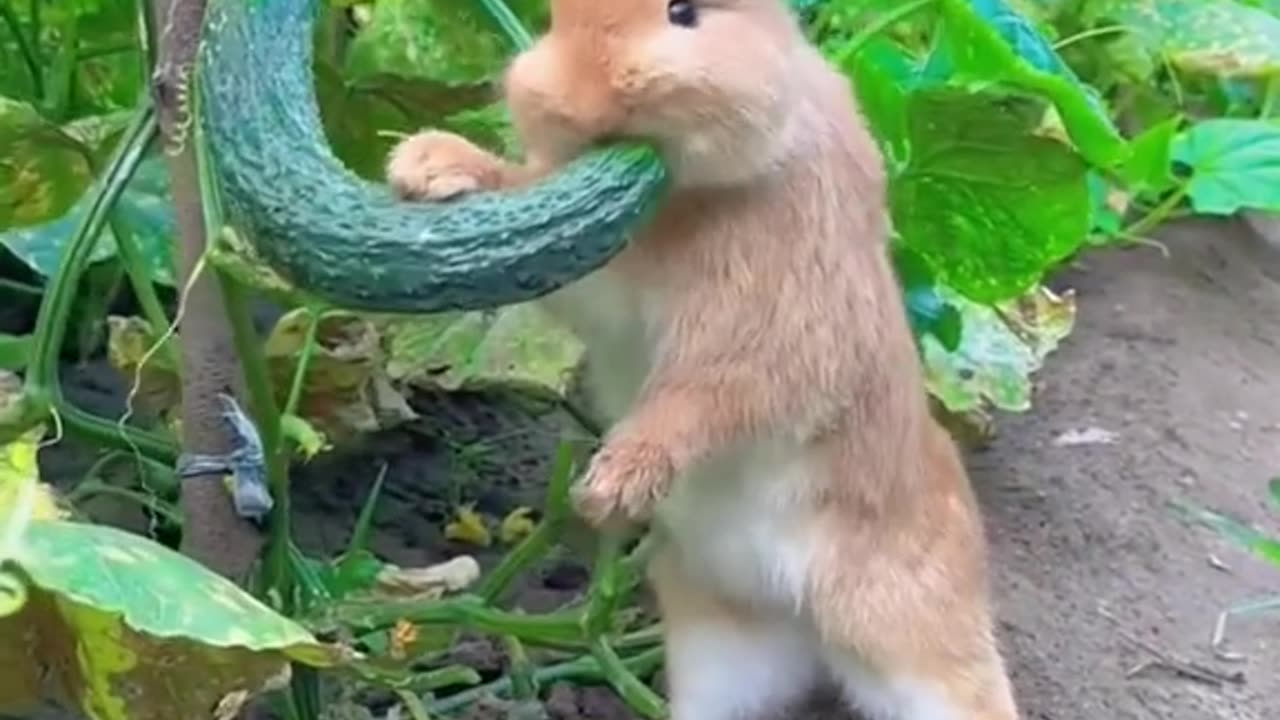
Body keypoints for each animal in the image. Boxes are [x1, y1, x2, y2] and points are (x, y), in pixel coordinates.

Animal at [386, 2, 1018, 712]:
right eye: (555, 20)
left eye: (683, 14)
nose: (578, 101)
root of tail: (800, 614)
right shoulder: (605, 280)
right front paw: (429, 164)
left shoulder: (771, 332)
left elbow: (699, 403)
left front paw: (611, 488)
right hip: (721, 644)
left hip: (908, 639)